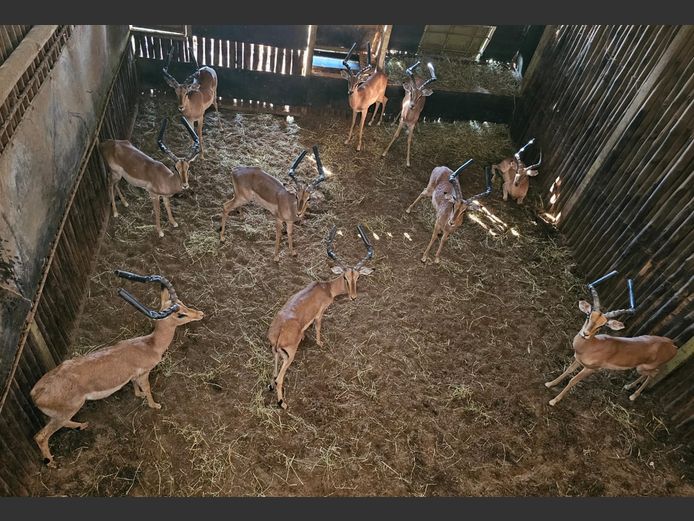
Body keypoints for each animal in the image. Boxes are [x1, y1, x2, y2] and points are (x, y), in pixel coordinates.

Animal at [30, 270, 204, 467]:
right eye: (180, 314)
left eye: (181, 302)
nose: (200, 313)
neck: (150, 346)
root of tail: (35, 394)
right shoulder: (144, 373)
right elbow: (148, 388)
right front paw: (155, 405)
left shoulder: (134, 375)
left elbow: (135, 385)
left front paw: (139, 395)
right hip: (66, 411)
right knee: (40, 436)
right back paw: (52, 462)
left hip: (63, 414)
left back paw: (82, 425)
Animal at [267, 225, 374, 409]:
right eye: (345, 277)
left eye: (358, 277)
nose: (353, 297)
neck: (326, 289)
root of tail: (278, 335)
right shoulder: (319, 314)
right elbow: (318, 327)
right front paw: (320, 343)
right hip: (289, 356)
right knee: (279, 379)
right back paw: (283, 403)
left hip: (276, 353)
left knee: (274, 374)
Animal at [545, 270, 677, 406]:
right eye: (588, 316)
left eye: (602, 325)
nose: (585, 333)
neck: (591, 346)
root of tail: (672, 344)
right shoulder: (578, 360)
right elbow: (568, 371)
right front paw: (549, 383)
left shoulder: (591, 369)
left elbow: (572, 380)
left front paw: (554, 401)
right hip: (641, 368)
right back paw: (628, 386)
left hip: (643, 368)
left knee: (654, 374)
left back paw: (633, 396)